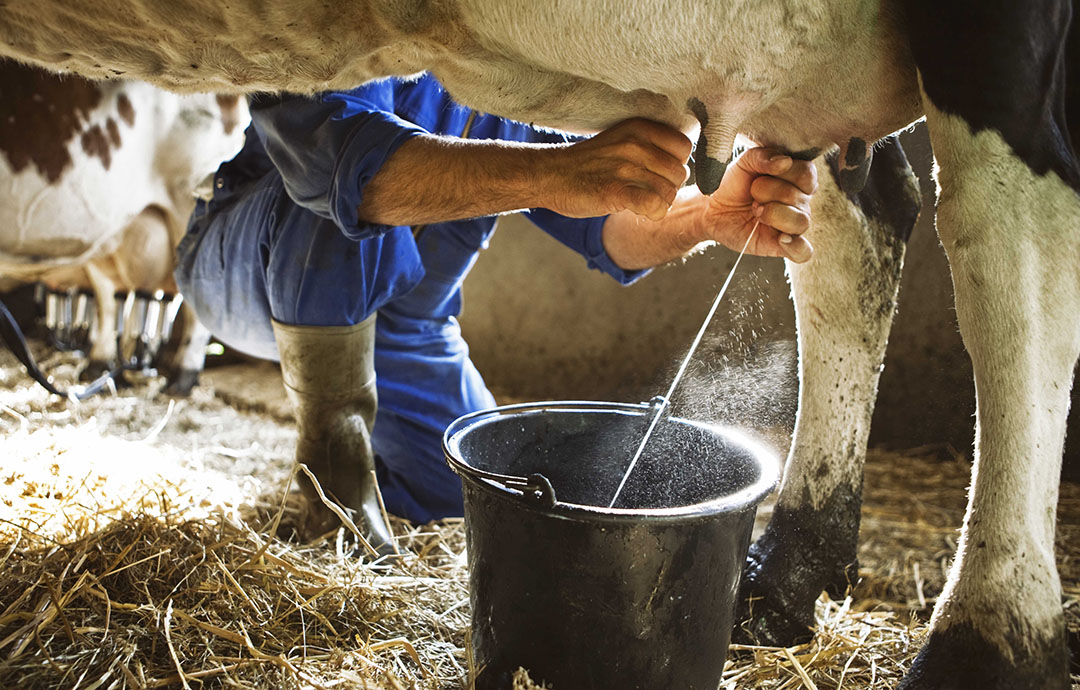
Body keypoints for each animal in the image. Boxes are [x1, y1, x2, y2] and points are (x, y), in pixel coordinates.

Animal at [0, 59, 247, 390]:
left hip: (191, 202)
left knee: (193, 299)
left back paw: (181, 376)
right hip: (112, 235)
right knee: (110, 298)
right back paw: (103, 365)